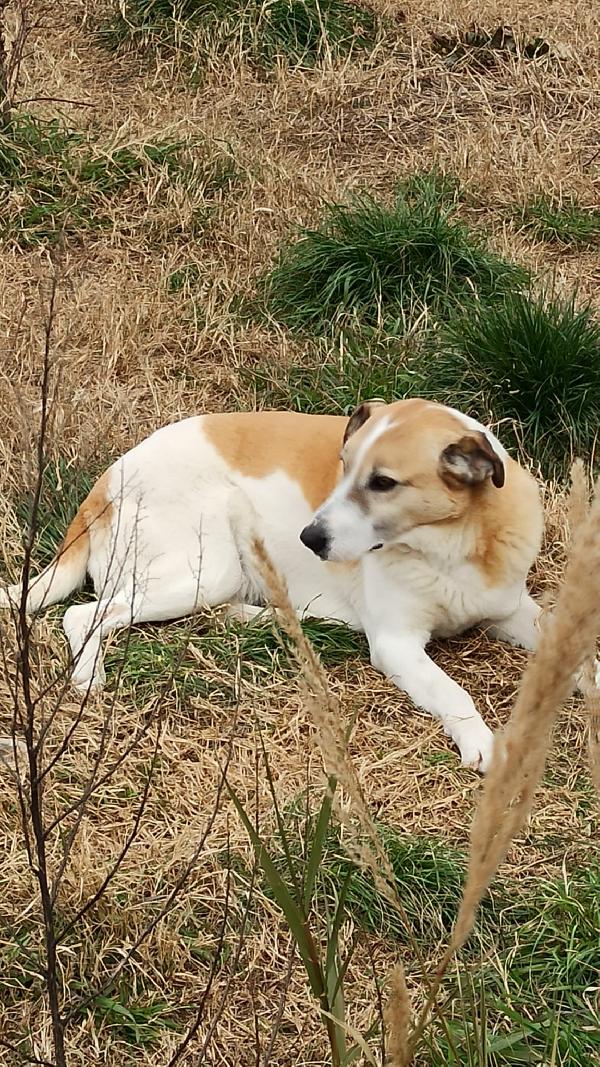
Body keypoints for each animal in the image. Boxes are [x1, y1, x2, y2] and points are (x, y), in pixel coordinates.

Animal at [2, 396, 550, 772]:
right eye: (342, 468)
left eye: (383, 483)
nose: (309, 537)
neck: (454, 544)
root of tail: (105, 484)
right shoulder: (397, 645)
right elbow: (453, 691)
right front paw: (481, 741)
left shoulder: (513, 610)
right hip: (205, 570)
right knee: (82, 614)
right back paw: (88, 676)